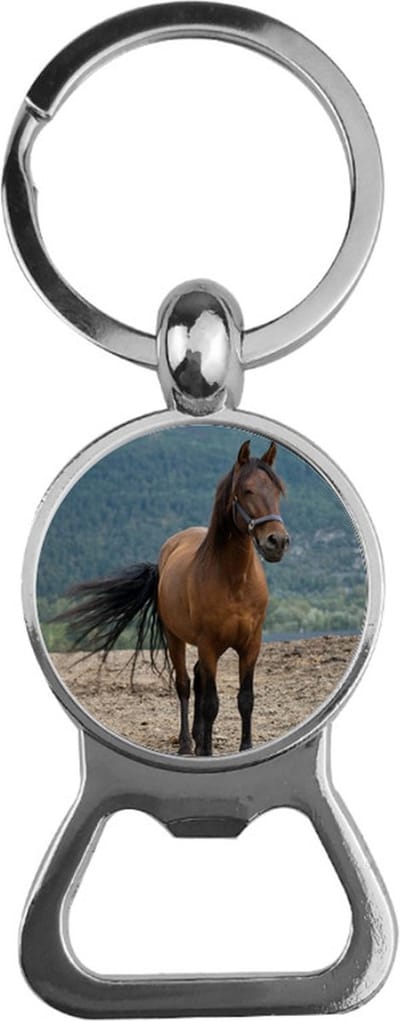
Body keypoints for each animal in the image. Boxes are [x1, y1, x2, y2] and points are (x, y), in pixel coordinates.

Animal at [58, 439, 289, 756]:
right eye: (247, 490)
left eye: (277, 491)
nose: (277, 542)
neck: (235, 581)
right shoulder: (208, 644)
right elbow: (211, 703)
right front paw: (205, 751)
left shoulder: (251, 644)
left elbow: (245, 699)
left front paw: (245, 747)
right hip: (175, 638)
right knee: (185, 684)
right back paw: (187, 743)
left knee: (198, 681)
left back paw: (197, 737)